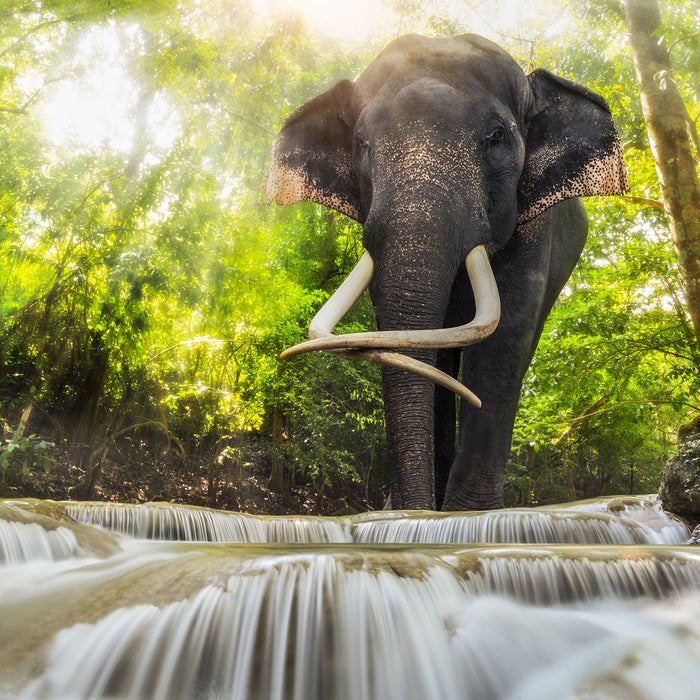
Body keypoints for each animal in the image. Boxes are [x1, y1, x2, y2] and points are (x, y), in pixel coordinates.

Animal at [264, 32, 628, 512]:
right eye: (361, 143)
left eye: (496, 136)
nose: (405, 509)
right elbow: (411, 342)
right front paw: (409, 513)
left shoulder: (533, 226)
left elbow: (505, 335)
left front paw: (470, 516)